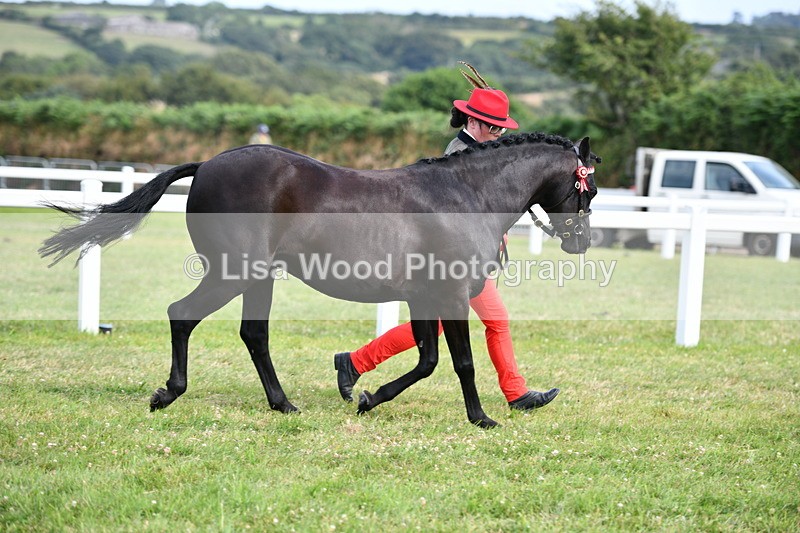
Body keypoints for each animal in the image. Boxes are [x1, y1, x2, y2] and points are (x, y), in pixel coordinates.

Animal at [40, 132, 599, 428]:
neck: (465, 195)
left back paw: (284, 403)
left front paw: (367, 396)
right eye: (587, 188)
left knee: (253, 334)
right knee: (184, 315)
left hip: (258, 277)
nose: (582, 242)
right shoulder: (450, 293)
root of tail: (208, 164)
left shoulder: (423, 296)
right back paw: (168, 394)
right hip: (233, 271)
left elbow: (427, 360)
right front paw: (482, 418)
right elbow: (459, 362)